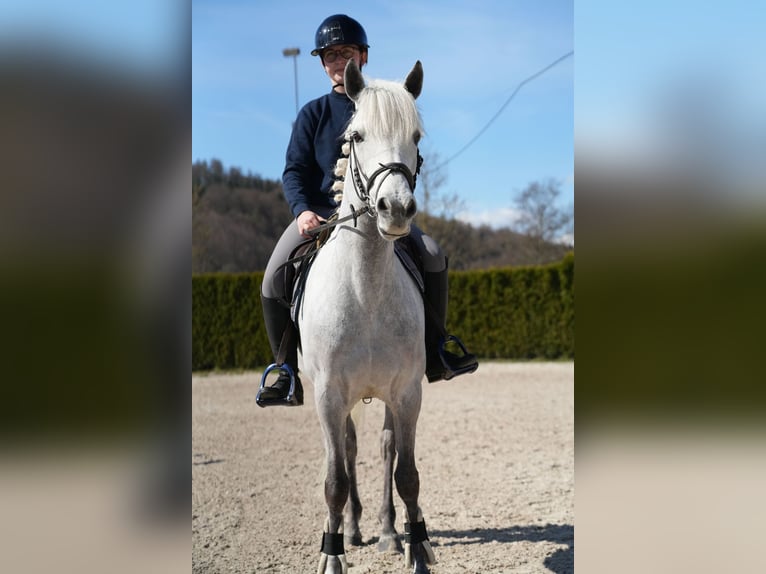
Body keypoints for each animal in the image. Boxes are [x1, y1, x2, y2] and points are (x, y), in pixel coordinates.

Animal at [297, 59, 436, 574]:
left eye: (415, 136)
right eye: (355, 136)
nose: (394, 209)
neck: (366, 290)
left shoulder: (408, 392)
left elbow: (408, 474)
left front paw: (417, 551)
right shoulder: (329, 395)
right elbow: (334, 481)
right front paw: (332, 555)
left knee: (382, 448)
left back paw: (391, 533)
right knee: (349, 451)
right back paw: (351, 530)